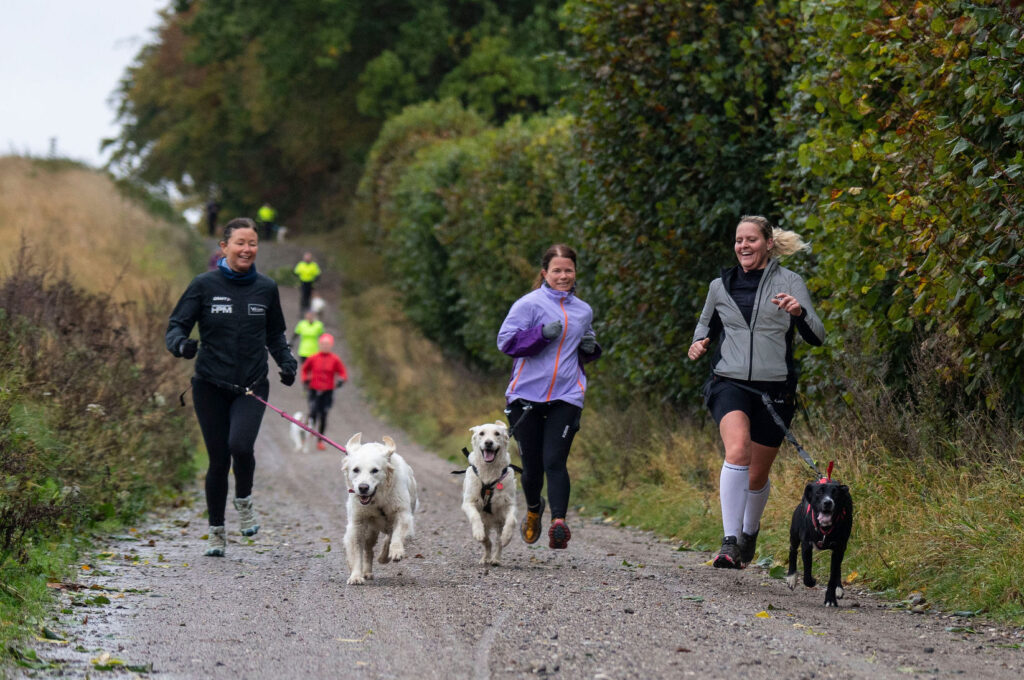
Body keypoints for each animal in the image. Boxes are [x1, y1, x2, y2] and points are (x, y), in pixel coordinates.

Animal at [342, 436, 417, 585]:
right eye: (356, 470)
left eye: (375, 470)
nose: (363, 487)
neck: (378, 499)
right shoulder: (357, 524)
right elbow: (356, 551)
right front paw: (356, 576)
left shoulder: (402, 513)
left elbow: (396, 534)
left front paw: (395, 552)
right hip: (370, 532)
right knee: (368, 550)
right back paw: (366, 572)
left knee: (388, 536)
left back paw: (383, 557)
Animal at [460, 421, 516, 565]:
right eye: (481, 433)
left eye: (497, 433)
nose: (488, 442)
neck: (489, 471)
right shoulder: (469, 502)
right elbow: (475, 516)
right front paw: (478, 532)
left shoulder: (509, 503)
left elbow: (511, 520)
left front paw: (507, 537)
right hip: (486, 524)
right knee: (487, 542)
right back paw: (485, 558)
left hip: (499, 523)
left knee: (497, 542)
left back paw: (495, 559)